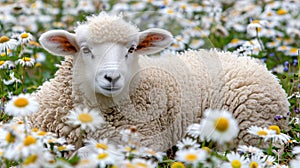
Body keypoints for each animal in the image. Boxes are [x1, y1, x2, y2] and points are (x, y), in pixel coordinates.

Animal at [29, 12, 290, 152]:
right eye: (85, 50)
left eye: (132, 49)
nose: (112, 77)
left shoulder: (145, 142)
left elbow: (86, 153)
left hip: (253, 128)